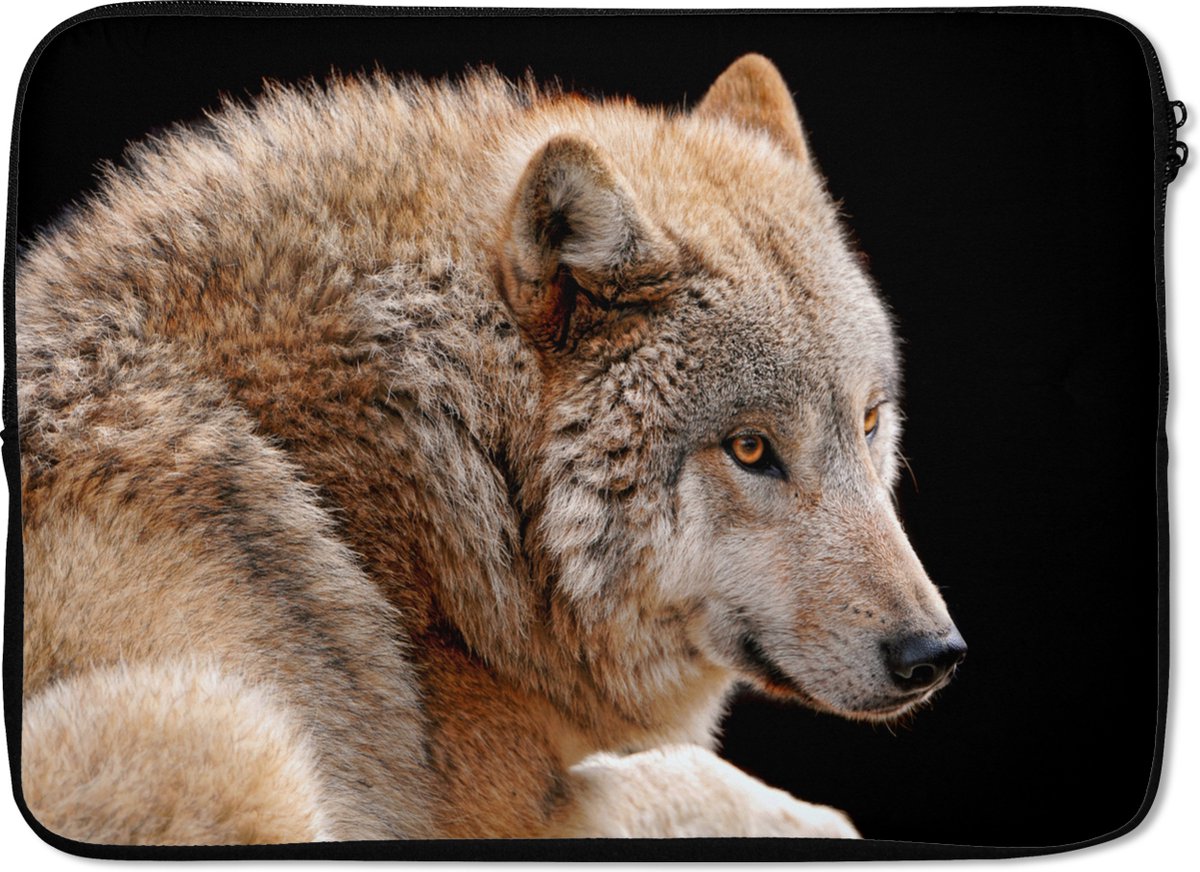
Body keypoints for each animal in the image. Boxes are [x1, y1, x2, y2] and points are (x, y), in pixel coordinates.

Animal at [14, 54, 966, 843]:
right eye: (751, 448)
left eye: (869, 422)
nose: (933, 655)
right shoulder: (504, 813)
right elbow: (690, 785)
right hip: (222, 736)